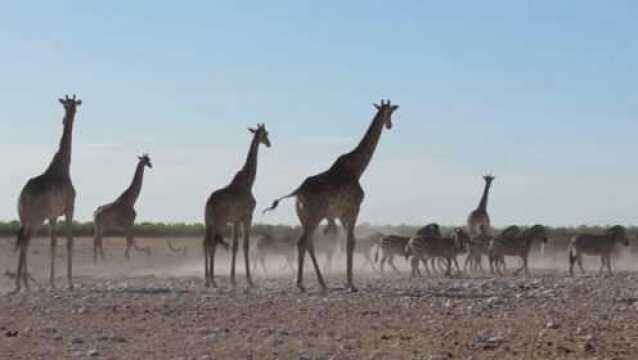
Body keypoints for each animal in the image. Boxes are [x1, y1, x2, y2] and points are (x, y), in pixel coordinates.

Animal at [13, 94, 82, 292]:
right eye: (68, 104)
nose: (69, 113)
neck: (64, 166)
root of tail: (24, 195)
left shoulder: (53, 216)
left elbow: (53, 243)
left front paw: (52, 283)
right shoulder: (70, 208)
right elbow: (68, 242)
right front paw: (69, 282)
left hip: (24, 217)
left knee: (23, 240)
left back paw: (22, 284)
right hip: (36, 218)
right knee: (26, 241)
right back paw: (23, 284)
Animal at [204, 124, 272, 286]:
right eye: (265, 133)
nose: (269, 143)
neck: (248, 183)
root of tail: (208, 203)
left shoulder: (236, 220)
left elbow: (235, 246)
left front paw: (233, 278)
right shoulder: (248, 216)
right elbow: (245, 246)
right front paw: (249, 279)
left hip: (209, 222)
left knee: (208, 243)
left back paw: (209, 279)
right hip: (218, 222)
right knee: (211, 243)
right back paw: (211, 279)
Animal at [264, 99, 400, 292]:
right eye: (390, 112)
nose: (389, 125)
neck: (357, 169)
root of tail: (298, 191)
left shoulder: (341, 215)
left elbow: (347, 242)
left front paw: (348, 281)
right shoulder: (353, 209)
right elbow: (350, 242)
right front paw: (351, 283)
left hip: (303, 217)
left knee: (307, 243)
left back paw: (319, 282)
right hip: (314, 215)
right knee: (303, 242)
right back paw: (302, 284)